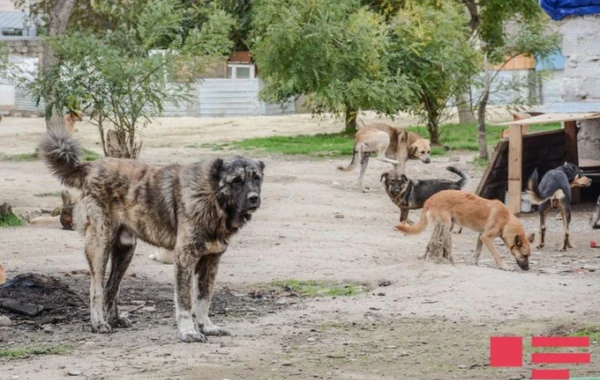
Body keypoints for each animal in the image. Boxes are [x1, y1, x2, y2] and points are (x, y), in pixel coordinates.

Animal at [39, 128, 264, 344]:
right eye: (236, 181)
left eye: (256, 178)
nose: (254, 198)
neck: (212, 197)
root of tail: (90, 166)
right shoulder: (184, 259)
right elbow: (185, 302)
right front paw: (188, 333)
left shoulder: (211, 261)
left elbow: (203, 300)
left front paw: (207, 327)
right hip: (100, 246)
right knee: (97, 288)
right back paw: (98, 323)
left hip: (125, 250)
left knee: (112, 287)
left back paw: (115, 319)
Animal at [396, 190, 532, 270]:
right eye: (524, 255)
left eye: (528, 256)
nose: (527, 268)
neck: (506, 221)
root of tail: (430, 199)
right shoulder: (487, 237)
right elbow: (497, 254)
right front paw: (504, 266)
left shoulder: (481, 236)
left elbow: (477, 252)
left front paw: (475, 263)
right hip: (446, 225)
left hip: (446, 226)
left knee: (429, 243)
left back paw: (426, 256)